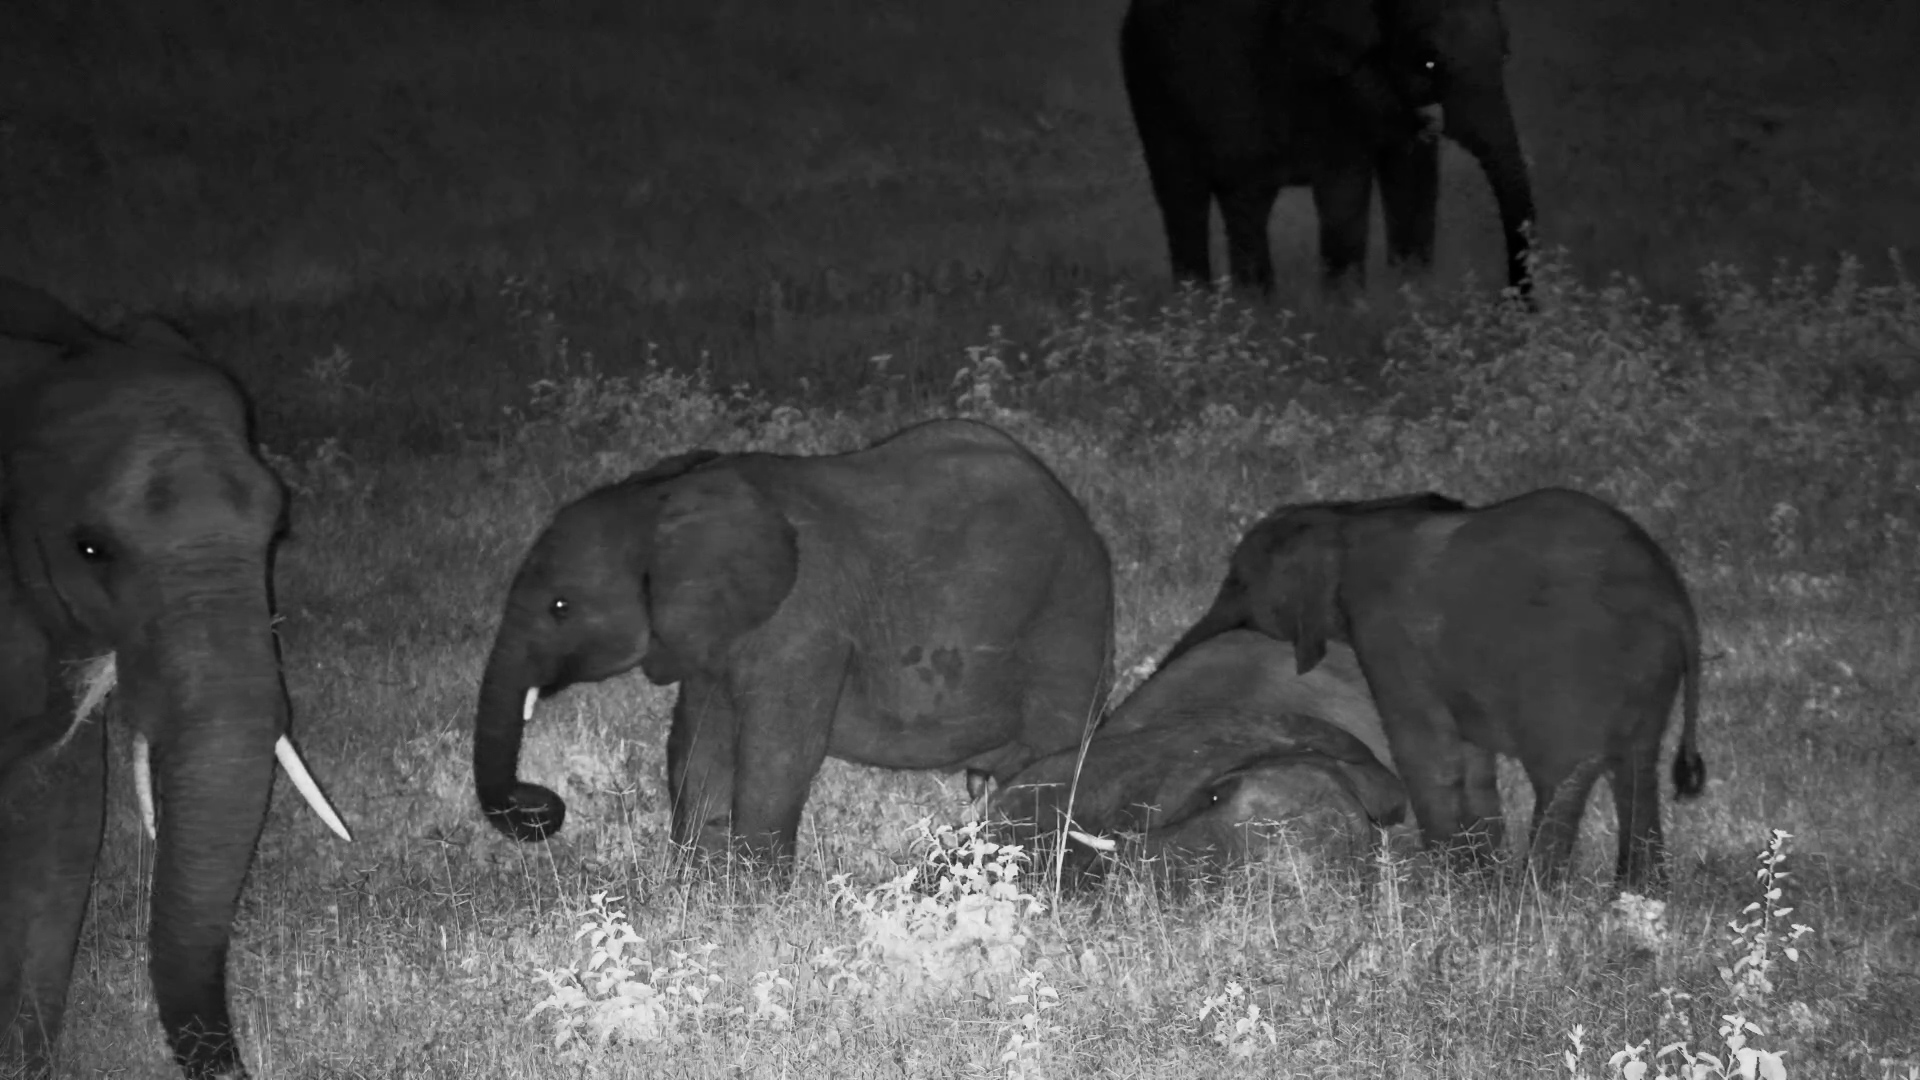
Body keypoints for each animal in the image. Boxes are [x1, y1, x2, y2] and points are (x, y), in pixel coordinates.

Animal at [472, 418, 1114, 875]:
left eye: (560, 607)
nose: (542, 805)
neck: (666, 500)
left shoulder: (804, 626)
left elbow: (778, 755)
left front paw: (752, 901)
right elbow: (696, 745)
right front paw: (697, 888)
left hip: (1067, 620)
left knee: (1056, 756)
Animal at [1121, 0, 1537, 297]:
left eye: (1506, 53)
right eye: (1429, 62)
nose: (1512, 301)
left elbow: (1413, 181)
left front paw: (1411, 295)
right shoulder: (1316, 75)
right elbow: (1344, 190)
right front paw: (1347, 313)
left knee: (1246, 201)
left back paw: (1254, 307)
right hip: (1153, 90)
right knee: (1183, 197)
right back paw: (1197, 308)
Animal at [1163, 488, 1705, 888]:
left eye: (1237, 583)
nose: (1164, 665)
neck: (1347, 518)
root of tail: (1674, 602)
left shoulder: (1389, 635)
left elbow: (1426, 752)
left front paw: (1452, 877)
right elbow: (1472, 760)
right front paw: (1478, 867)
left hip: (1575, 670)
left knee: (1566, 774)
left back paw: (1533, 896)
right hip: (1648, 669)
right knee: (1637, 765)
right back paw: (1638, 890)